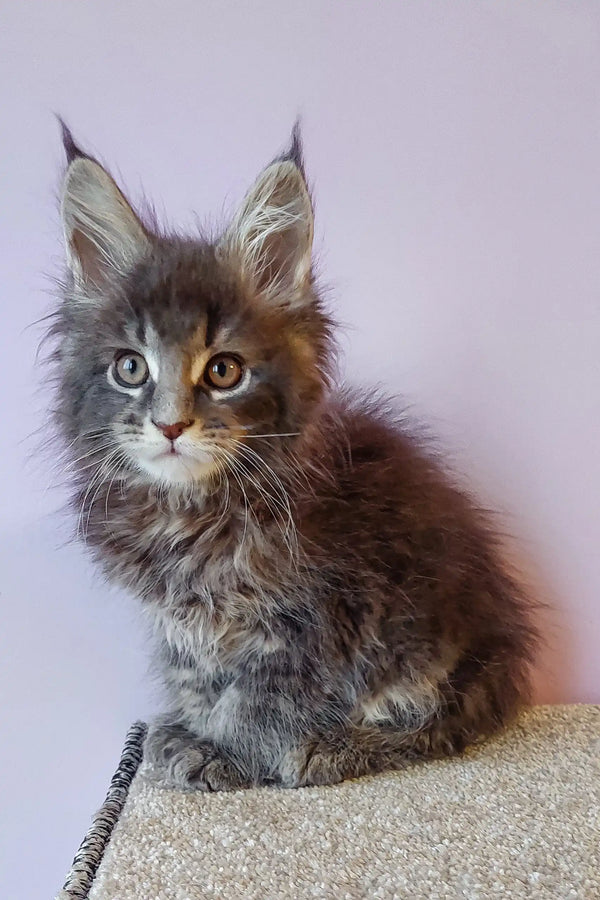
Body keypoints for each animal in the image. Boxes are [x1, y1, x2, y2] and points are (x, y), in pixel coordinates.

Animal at [50, 125, 540, 788]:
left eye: (224, 370)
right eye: (131, 368)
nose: (170, 424)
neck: (190, 514)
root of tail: (506, 651)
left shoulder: (317, 618)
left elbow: (261, 700)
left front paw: (227, 753)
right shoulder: (183, 625)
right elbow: (200, 680)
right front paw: (190, 733)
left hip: (434, 643)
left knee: (441, 722)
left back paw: (334, 747)